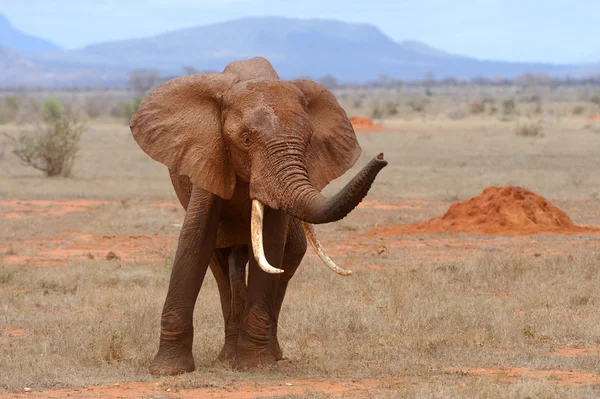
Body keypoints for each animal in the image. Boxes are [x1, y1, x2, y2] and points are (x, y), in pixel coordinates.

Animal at [129, 57, 386, 378]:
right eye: (245, 139)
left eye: (309, 141)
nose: (381, 157)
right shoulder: (208, 155)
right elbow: (195, 239)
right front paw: (168, 370)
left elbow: (270, 244)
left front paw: (254, 365)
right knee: (222, 267)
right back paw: (227, 356)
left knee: (286, 261)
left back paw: (270, 355)